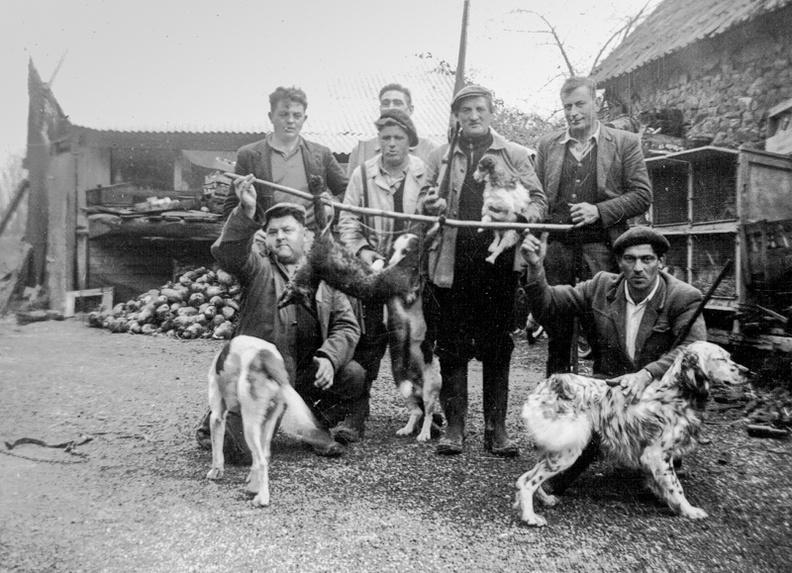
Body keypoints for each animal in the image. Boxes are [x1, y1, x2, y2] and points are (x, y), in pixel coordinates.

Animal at [207, 336, 328, 504]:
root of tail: (264, 357)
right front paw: (252, 482)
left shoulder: (217, 417)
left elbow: (216, 452)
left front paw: (215, 472)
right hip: (268, 421)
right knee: (264, 456)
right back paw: (255, 488)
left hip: (250, 426)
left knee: (262, 462)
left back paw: (262, 498)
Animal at [512, 342, 748, 524]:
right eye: (721, 358)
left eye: (730, 357)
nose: (748, 371)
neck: (677, 392)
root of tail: (550, 384)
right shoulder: (656, 454)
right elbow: (676, 487)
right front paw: (689, 510)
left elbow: (664, 485)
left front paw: (668, 500)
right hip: (567, 450)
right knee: (527, 481)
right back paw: (530, 517)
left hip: (556, 448)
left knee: (528, 476)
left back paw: (544, 500)